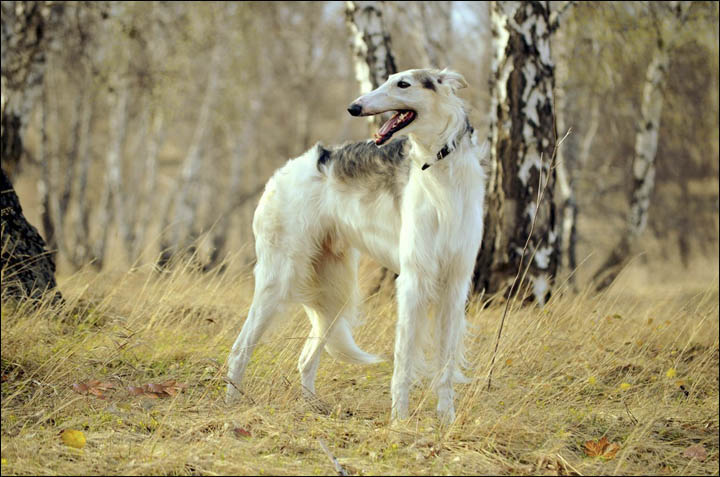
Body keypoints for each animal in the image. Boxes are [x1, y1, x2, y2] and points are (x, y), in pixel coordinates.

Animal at [222, 68, 486, 420]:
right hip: (278, 280)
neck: (440, 170)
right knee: (240, 350)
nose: (354, 107)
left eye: (403, 84)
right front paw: (399, 421)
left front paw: (447, 420)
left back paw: (313, 408)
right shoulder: (413, 281)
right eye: (387, 79)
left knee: (305, 358)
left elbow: (444, 366)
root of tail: (283, 172)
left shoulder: (455, 285)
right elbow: (403, 364)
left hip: (335, 293)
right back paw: (231, 405)